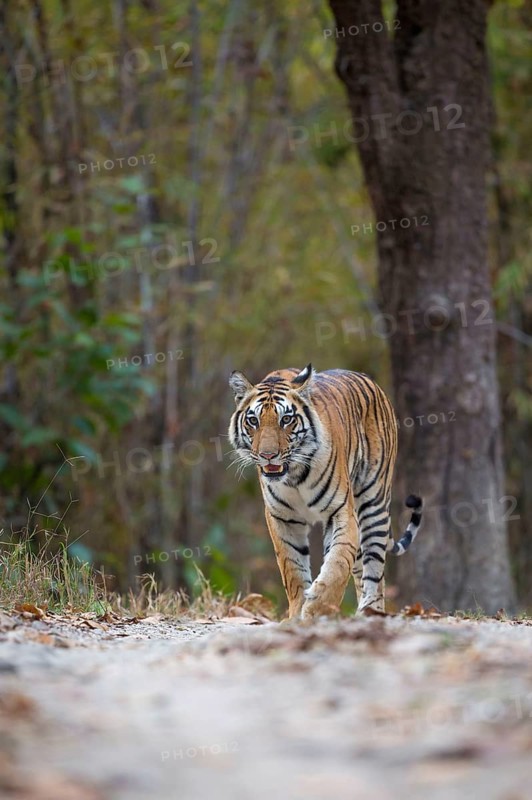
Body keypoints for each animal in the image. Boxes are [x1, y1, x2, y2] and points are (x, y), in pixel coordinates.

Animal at [228, 364, 422, 620]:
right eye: (253, 420)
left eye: (286, 419)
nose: (267, 455)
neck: (294, 476)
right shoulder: (282, 518)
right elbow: (293, 569)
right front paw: (297, 613)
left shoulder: (340, 511)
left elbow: (338, 562)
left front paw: (317, 606)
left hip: (373, 505)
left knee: (373, 569)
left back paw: (370, 612)